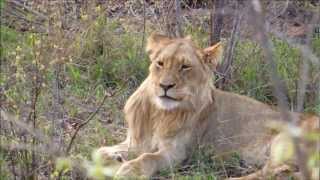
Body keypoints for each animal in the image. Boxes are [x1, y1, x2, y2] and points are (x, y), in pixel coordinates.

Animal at [98, 32, 320, 179]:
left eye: (185, 66)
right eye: (160, 63)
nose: (165, 86)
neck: (159, 113)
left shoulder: (178, 154)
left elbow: (147, 157)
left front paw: (128, 169)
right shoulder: (135, 141)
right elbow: (102, 151)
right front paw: (114, 157)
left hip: (284, 142)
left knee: (272, 172)